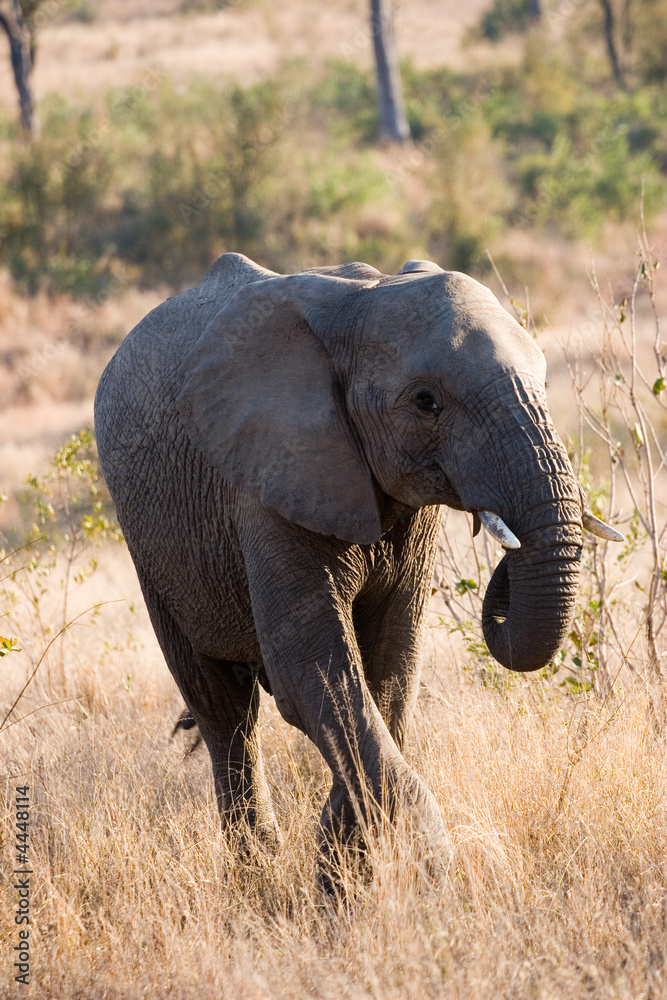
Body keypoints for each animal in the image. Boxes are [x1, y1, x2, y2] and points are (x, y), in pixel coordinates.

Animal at [94, 250, 620, 876]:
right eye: (425, 401)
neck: (365, 299)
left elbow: (388, 670)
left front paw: (345, 869)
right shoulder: (271, 476)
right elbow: (314, 673)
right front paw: (424, 873)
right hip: (151, 546)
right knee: (224, 709)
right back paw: (255, 875)